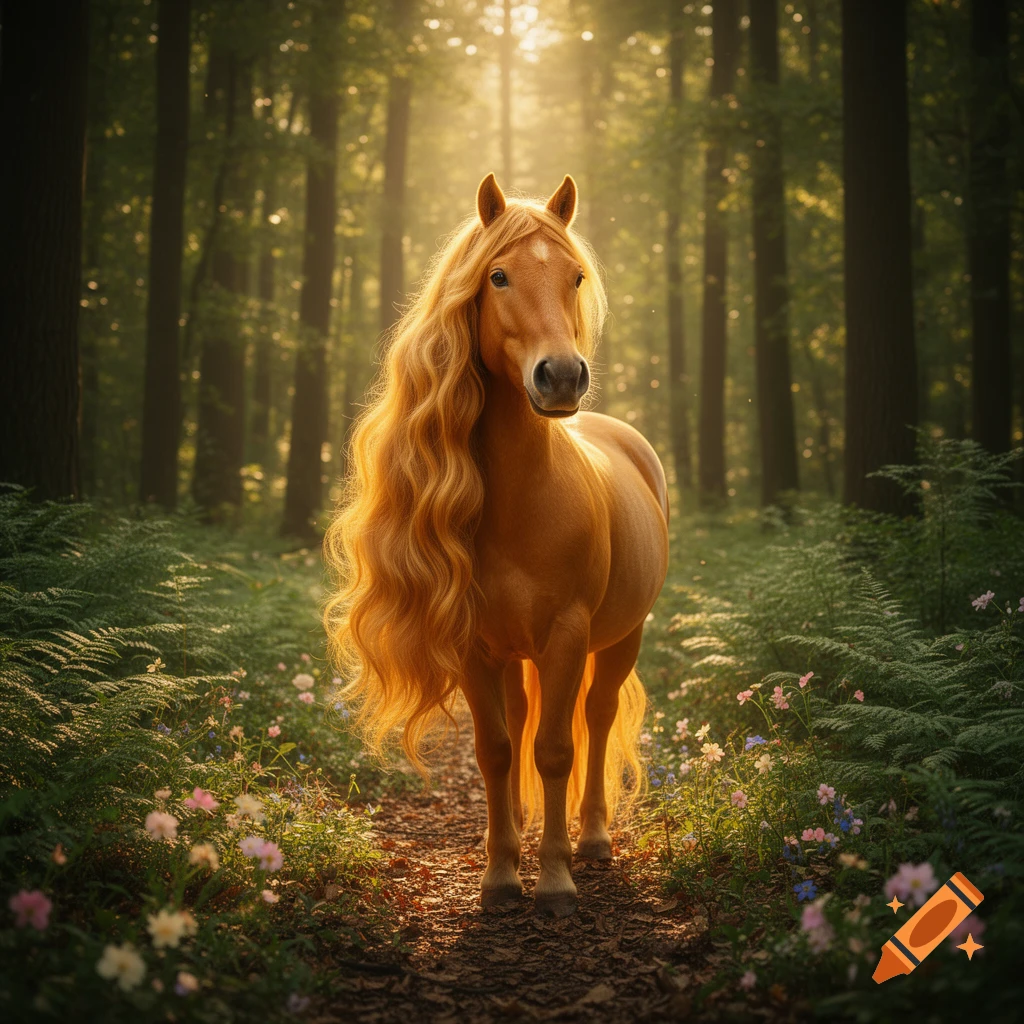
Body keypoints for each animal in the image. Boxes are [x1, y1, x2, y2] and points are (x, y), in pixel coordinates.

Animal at [325, 173, 669, 917]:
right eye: (499, 275)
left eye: (574, 276)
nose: (561, 377)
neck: (520, 501)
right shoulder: (473, 645)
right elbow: (497, 750)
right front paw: (502, 875)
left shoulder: (568, 634)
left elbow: (555, 750)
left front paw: (556, 880)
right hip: (516, 654)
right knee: (523, 726)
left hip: (622, 637)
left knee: (597, 719)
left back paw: (592, 840)